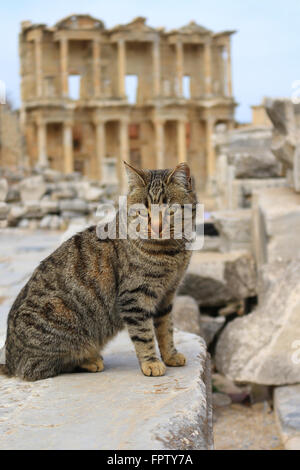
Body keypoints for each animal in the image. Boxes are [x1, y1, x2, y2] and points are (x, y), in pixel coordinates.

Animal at [1, 162, 197, 382]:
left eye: (170, 210)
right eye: (142, 211)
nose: (156, 227)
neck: (172, 253)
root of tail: (9, 361)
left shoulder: (167, 295)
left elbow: (166, 330)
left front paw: (170, 355)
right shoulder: (135, 297)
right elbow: (144, 334)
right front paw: (151, 363)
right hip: (62, 320)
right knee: (39, 368)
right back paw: (89, 360)